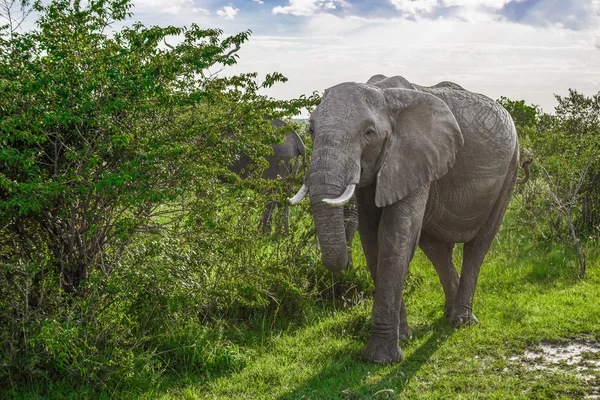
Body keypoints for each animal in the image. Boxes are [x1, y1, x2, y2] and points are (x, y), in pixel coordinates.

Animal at [290, 75, 524, 366]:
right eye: (311, 130)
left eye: (369, 133)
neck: (384, 94)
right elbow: (373, 242)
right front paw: (402, 338)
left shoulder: (413, 155)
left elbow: (394, 238)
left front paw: (381, 359)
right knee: (435, 248)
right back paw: (449, 314)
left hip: (511, 169)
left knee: (478, 245)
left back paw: (461, 321)